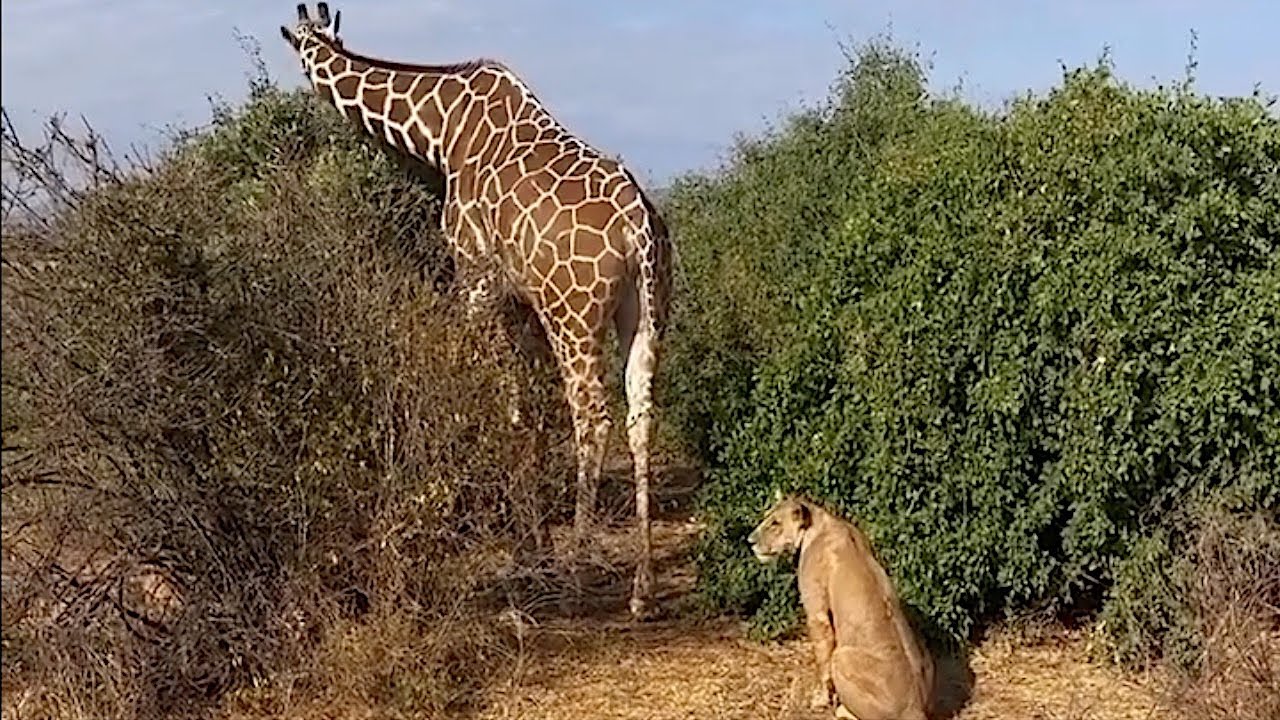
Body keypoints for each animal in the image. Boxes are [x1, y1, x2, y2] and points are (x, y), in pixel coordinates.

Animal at [280, 4, 673, 618]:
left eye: (302, 50)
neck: (439, 133)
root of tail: (639, 227)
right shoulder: (522, 304)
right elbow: (531, 417)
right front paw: (533, 546)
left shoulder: (478, 282)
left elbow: (507, 411)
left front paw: (527, 552)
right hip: (647, 313)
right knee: (640, 416)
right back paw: (641, 587)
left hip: (574, 316)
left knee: (592, 418)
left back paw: (578, 572)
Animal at [748, 492, 935, 720]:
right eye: (766, 517)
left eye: (775, 523)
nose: (750, 541)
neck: (818, 521)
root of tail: (916, 707)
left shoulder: (817, 611)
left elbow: (822, 660)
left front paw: (821, 700)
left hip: (841, 657)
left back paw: (843, 710)